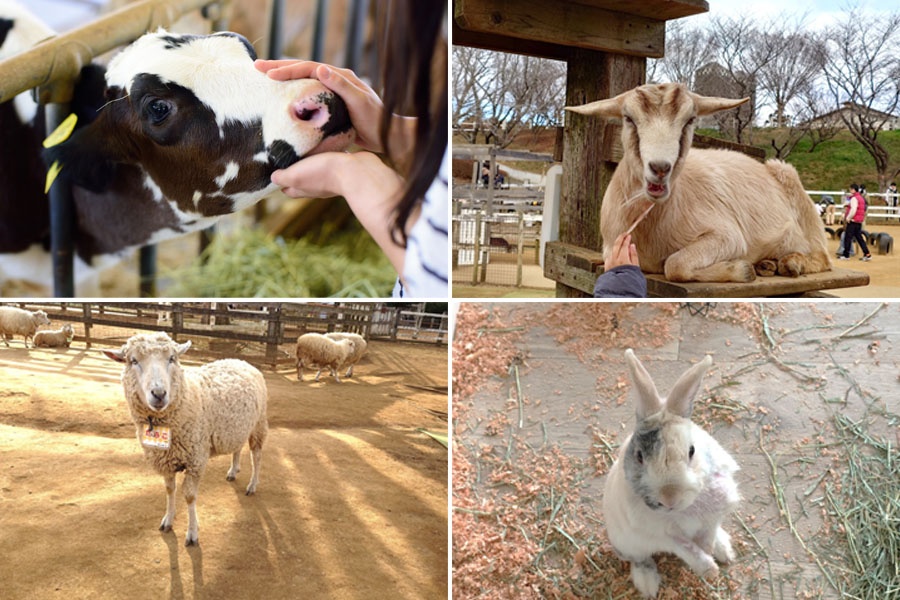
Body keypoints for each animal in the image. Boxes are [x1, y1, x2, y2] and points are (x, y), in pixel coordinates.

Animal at [103, 330, 268, 548]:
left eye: (172, 358)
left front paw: (192, 532)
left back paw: (253, 485)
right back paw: (233, 471)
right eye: (133, 360)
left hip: (258, 424)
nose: (159, 394)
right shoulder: (165, 460)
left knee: (257, 456)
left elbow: (189, 497)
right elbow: (169, 489)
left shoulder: (195, 459)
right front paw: (168, 519)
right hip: (235, 428)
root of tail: (241, 361)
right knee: (237, 448)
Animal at [568, 81, 832, 284]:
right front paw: (748, 268)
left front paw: (742, 270)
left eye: (690, 120)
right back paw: (768, 264)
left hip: (798, 194)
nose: (660, 168)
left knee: (823, 256)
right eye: (628, 118)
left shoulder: (729, 235)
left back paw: (792, 263)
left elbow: (674, 265)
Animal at [604, 350, 740, 596]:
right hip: (625, 543)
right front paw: (709, 570)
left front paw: (710, 549)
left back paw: (724, 549)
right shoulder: (663, 534)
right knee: (639, 559)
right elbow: (686, 548)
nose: (669, 497)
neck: (685, 508)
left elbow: (709, 532)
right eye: (639, 456)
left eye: (692, 451)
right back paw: (648, 585)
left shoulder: (718, 509)